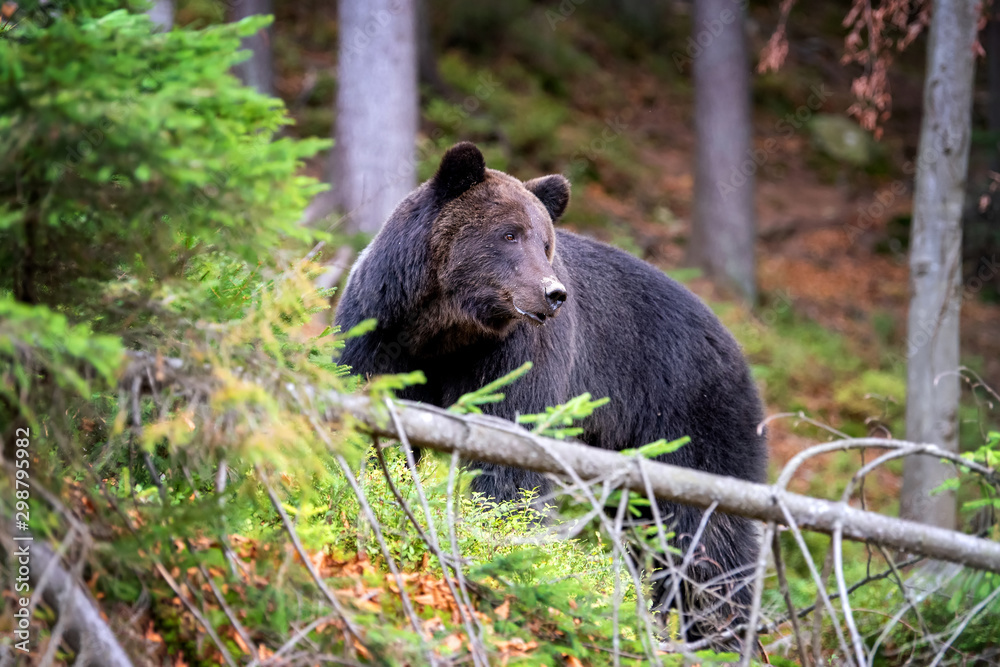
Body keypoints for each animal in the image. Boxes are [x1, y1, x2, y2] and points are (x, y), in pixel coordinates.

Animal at [335, 142, 768, 647]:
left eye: (544, 243)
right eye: (509, 234)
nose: (553, 293)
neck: (446, 328)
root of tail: (738, 349)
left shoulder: (515, 356)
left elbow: (509, 454)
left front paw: (497, 534)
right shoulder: (380, 330)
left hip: (692, 420)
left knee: (709, 540)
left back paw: (721, 632)